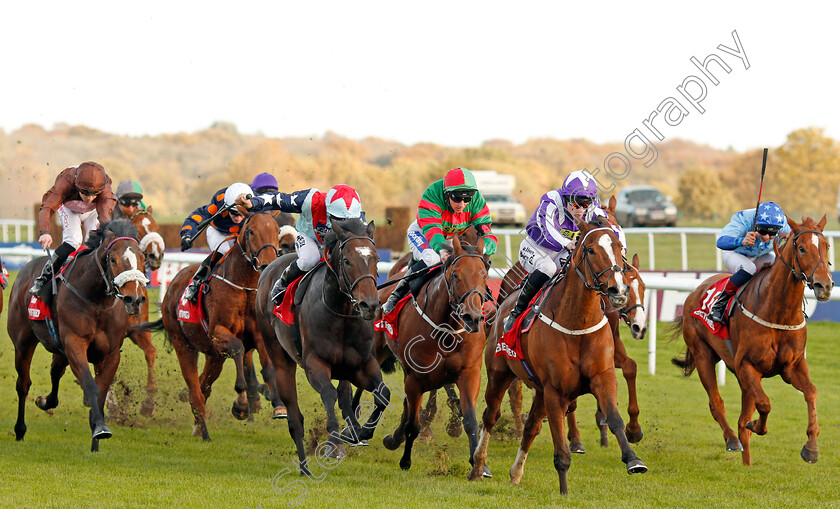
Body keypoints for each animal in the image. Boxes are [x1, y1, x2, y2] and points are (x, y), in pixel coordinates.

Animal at [7, 220, 148, 450]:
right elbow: (90, 385)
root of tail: (25, 269)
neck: (97, 301)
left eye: (143, 259)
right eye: (113, 259)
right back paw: (20, 430)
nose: (134, 299)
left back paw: (46, 401)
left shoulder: (110, 353)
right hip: (23, 342)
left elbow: (101, 391)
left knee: (55, 372)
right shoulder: (74, 343)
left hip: (59, 348)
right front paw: (100, 427)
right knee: (23, 384)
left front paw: (96, 438)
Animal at [141, 208, 278, 438]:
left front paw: (277, 404)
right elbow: (238, 348)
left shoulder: (257, 334)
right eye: (251, 231)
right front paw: (241, 404)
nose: (268, 264)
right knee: (195, 390)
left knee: (204, 386)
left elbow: (267, 366)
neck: (243, 286)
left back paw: (199, 425)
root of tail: (173, 284)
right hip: (183, 345)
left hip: (213, 355)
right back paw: (203, 430)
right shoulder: (218, 332)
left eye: (277, 230)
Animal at [256, 218, 388, 472]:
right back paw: (304, 467)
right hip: (279, 354)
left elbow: (382, 394)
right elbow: (328, 393)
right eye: (347, 260)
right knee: (295, 417)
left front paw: (360, 432)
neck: (342, 315)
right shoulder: (314, 364)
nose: (369, 305)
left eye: (376, 258)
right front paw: (335, 440)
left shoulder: (362, 365)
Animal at [470, 217, 648, 492]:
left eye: (620, 248)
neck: (577, 322)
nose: (617, 290)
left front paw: (633, 457)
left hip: (539, 390)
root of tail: (504, 303)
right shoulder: (555, 390)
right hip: (499, 374)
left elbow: (614, 417)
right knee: (490, 416)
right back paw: (478, 466)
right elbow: (560, 446)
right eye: (590, 250)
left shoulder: (602, 376)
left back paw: (515, 472)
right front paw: (564, 490)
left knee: (530, 427)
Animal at [668, 214, 832, 464]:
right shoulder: (747, 365)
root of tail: (694, 292)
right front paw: (756, 425)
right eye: (802, 248)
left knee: (741, 416)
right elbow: (764, 404)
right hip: (703, 354)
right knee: (717, 404)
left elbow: (811, 392)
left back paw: (747, 461)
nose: (825, 285)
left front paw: (811, 447)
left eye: (826, 246)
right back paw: (732, 440)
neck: (778, 311)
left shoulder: (793, 366)